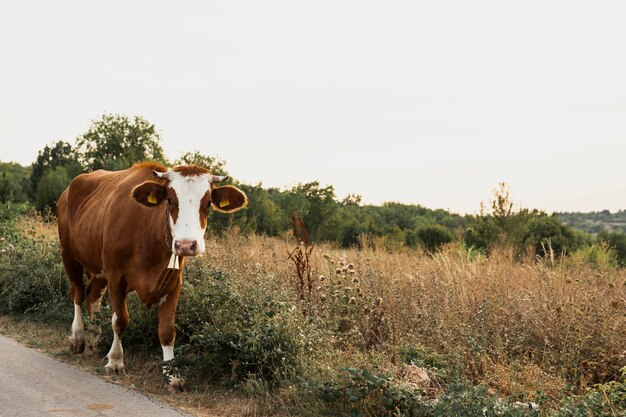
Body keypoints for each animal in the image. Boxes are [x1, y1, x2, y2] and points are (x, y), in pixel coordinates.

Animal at [56, 162, 246, 390]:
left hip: (98, 268)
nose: (185, 245)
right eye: (170, 200)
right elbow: (120, 320)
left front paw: (172, 375)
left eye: (208, 203)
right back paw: (78, 338)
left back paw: (93, 341)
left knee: (93, 296)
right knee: (78, 293)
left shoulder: (174, 282)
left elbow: (167, 330)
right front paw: (116, 361)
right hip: (69, 254)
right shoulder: (116, 277)